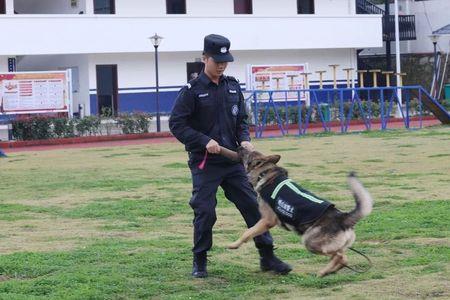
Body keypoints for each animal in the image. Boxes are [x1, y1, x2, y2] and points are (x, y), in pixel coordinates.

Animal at [225, 148, 372, 276]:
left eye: (247, 152)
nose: (239, 146)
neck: (266, 173)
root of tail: (343, 218)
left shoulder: (267, 221)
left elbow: (247, 232)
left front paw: (233, 245)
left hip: (309, 241)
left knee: (340, 256)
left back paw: (323, 272)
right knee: (343, 257)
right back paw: (328, 271)